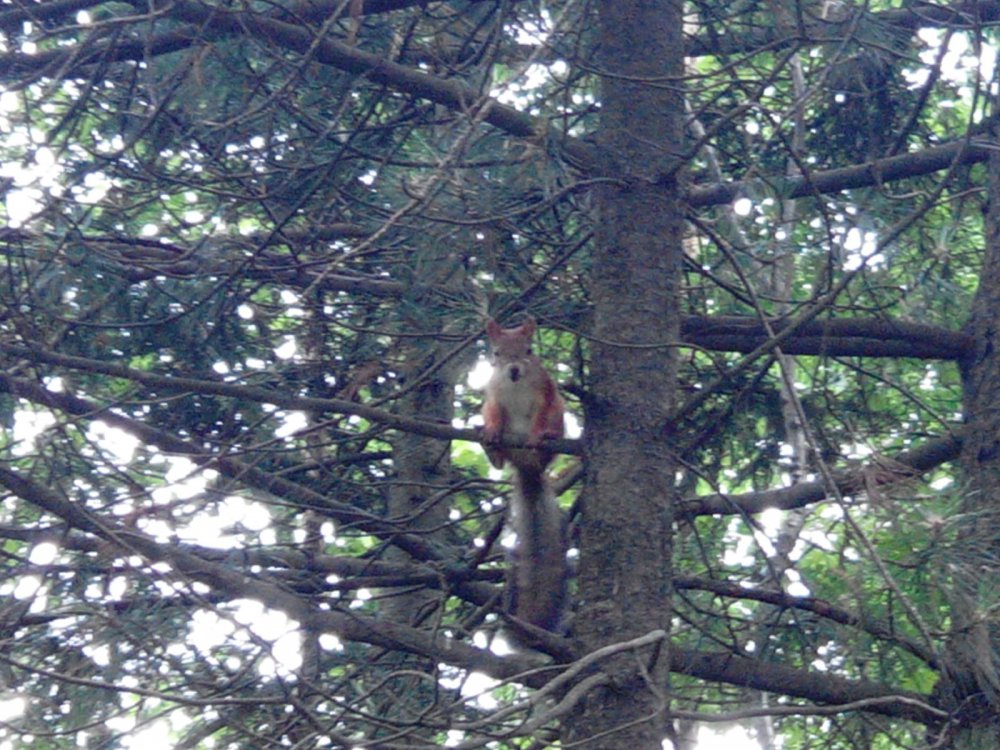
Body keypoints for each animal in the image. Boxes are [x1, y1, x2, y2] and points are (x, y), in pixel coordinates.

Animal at [482, 317, 568, 634]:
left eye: (529, 350)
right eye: (496, 353)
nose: (514, 370)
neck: (515, 386)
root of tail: (528, 469)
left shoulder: (546, 393)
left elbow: (541, 414)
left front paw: (537, 435)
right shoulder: (493, 396)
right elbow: (494, 412)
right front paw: (492, 430)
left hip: (559, 418)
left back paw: (546, 440)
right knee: (499, 459)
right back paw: (492, 450)